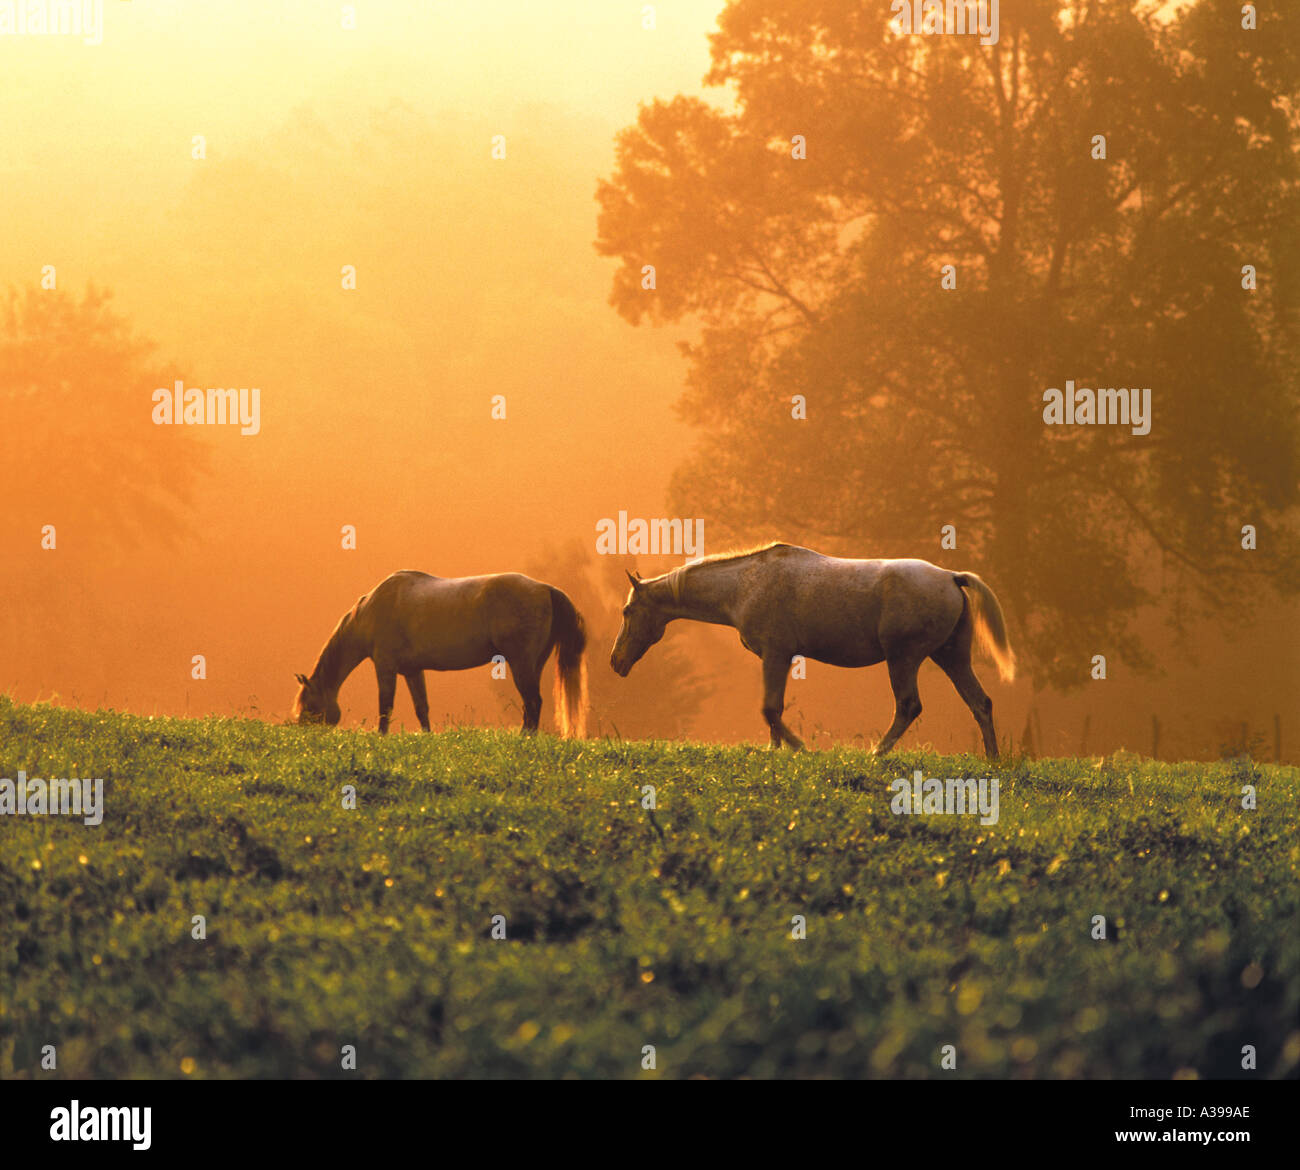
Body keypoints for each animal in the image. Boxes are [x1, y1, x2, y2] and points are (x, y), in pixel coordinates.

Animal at [295, 572, 590, 738]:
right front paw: (427, 736)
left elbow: (385, 705)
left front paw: (382, 736)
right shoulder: (412, 671)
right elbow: (421, 708)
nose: (300, 733)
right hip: (534, 664)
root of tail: (545, 589)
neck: (371, 610)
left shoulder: (385, 667)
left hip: (521, 664)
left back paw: (525, 737)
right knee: (532, 703)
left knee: (533, 702)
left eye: (309, 705)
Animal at [608, 540, 1013, 759]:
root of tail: (951, 577)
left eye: (627, 611)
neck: (744, 584)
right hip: (951, 656)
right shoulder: (779, 659)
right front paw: (776, 751)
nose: (615, 661)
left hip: (904, 658)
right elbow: (773, 709)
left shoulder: (775, 654)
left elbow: (769, 709)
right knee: (980, 702)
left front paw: (800, 748)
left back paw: (876, 754)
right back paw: (992, 760)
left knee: (909, 706)